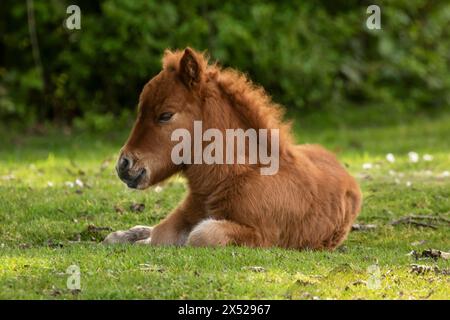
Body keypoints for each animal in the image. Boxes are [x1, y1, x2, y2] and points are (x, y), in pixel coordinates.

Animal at [103, 47, 362, 250]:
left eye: (166, 115)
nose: (124, 165)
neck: (230, 177)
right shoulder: (186, 213)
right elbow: (161, 233)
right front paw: (127, 236)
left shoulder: (261, 235)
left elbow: (198, 235)